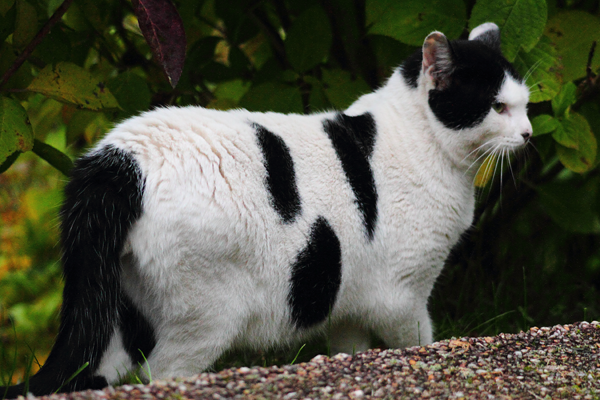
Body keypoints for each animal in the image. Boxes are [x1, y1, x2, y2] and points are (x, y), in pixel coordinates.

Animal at [2, 22, 532, 397]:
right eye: (497, 108)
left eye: (525, 105)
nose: (528, 134)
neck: (422, 142)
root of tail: (117, 158)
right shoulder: (401, 297)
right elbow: (421, 344)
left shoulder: (350, 307)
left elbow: (350, 352)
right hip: (201, 321)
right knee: (158, 376)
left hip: (117, 309)